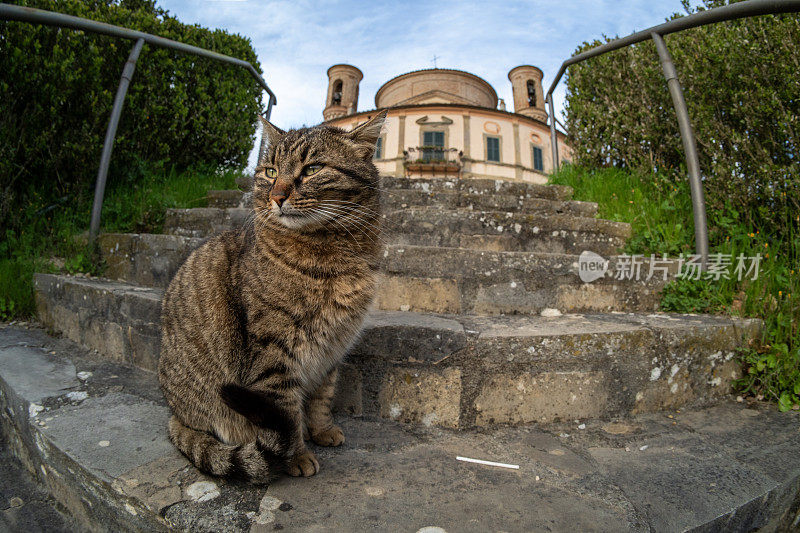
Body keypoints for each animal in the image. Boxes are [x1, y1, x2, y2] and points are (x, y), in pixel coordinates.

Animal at [158, 110, 386, 480]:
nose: (277, 196)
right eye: (270, 171)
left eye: (312, 168)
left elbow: (322, 397)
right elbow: (286, 410)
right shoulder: (274, 348)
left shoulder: (333, 347)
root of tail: (175, 416)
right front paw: (297, 456)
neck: (333, 253)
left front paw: (322, 430)